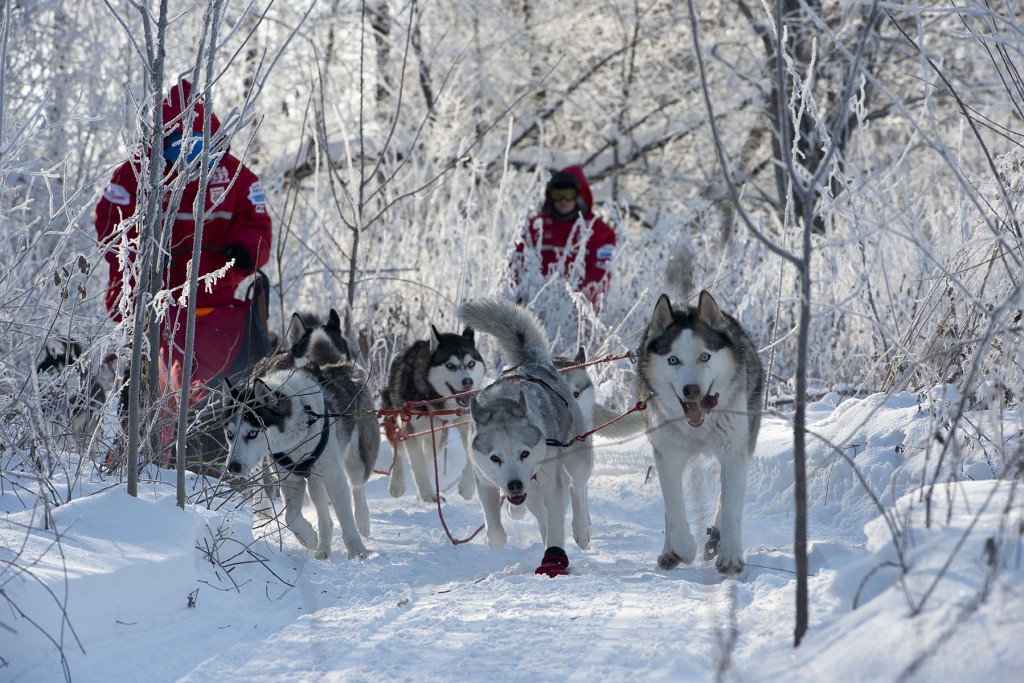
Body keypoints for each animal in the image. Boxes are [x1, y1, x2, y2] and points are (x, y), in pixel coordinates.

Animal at [223, 362, 373, 559]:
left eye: (252, 433)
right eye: (230, 434)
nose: (233, 467)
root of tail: (345, 366)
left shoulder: (333, 476)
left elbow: (345, 515)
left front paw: (357, 550)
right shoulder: (291, 479)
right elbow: (290, 516)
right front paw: (309, 538)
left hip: (356, 461)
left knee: (357, 486)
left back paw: (363, 522)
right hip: (314, 481)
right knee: (323, 513)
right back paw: (323, 547)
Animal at [381, 325, 485, 503]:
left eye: (471, 363)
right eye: (450, 365)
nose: (468, 381)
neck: (434, 397)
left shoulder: (467, 422)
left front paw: (468, 486)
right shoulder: (409, 429)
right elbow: (418, 465)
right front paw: (428, 495)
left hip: (436, 432)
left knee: (429, 459)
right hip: (395, 419)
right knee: (399, 452)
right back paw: (398, 484)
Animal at [456, 299, 594, 577]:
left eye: (524, 453)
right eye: (495, 458)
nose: (514, 485)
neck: (504, 402)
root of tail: (534, 363)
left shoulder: (552, 483)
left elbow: (557, 523)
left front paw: (554, 559)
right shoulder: (485, 479)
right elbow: (496, 531)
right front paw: (492, 538)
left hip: (577, 458)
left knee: (577, 487)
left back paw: (581, 529)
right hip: (533, 493)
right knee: (542, 515)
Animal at [637, 290, 763, 574]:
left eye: (705, 357)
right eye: (673, 360)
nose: (691, 390)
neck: (698, 427)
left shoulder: (734, 452)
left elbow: (730, 507)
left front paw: (730, 555)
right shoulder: (667, 456)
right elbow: (674, 508)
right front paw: (683, 548)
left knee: (727, 498)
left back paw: (718, 537)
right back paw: (670, 551)